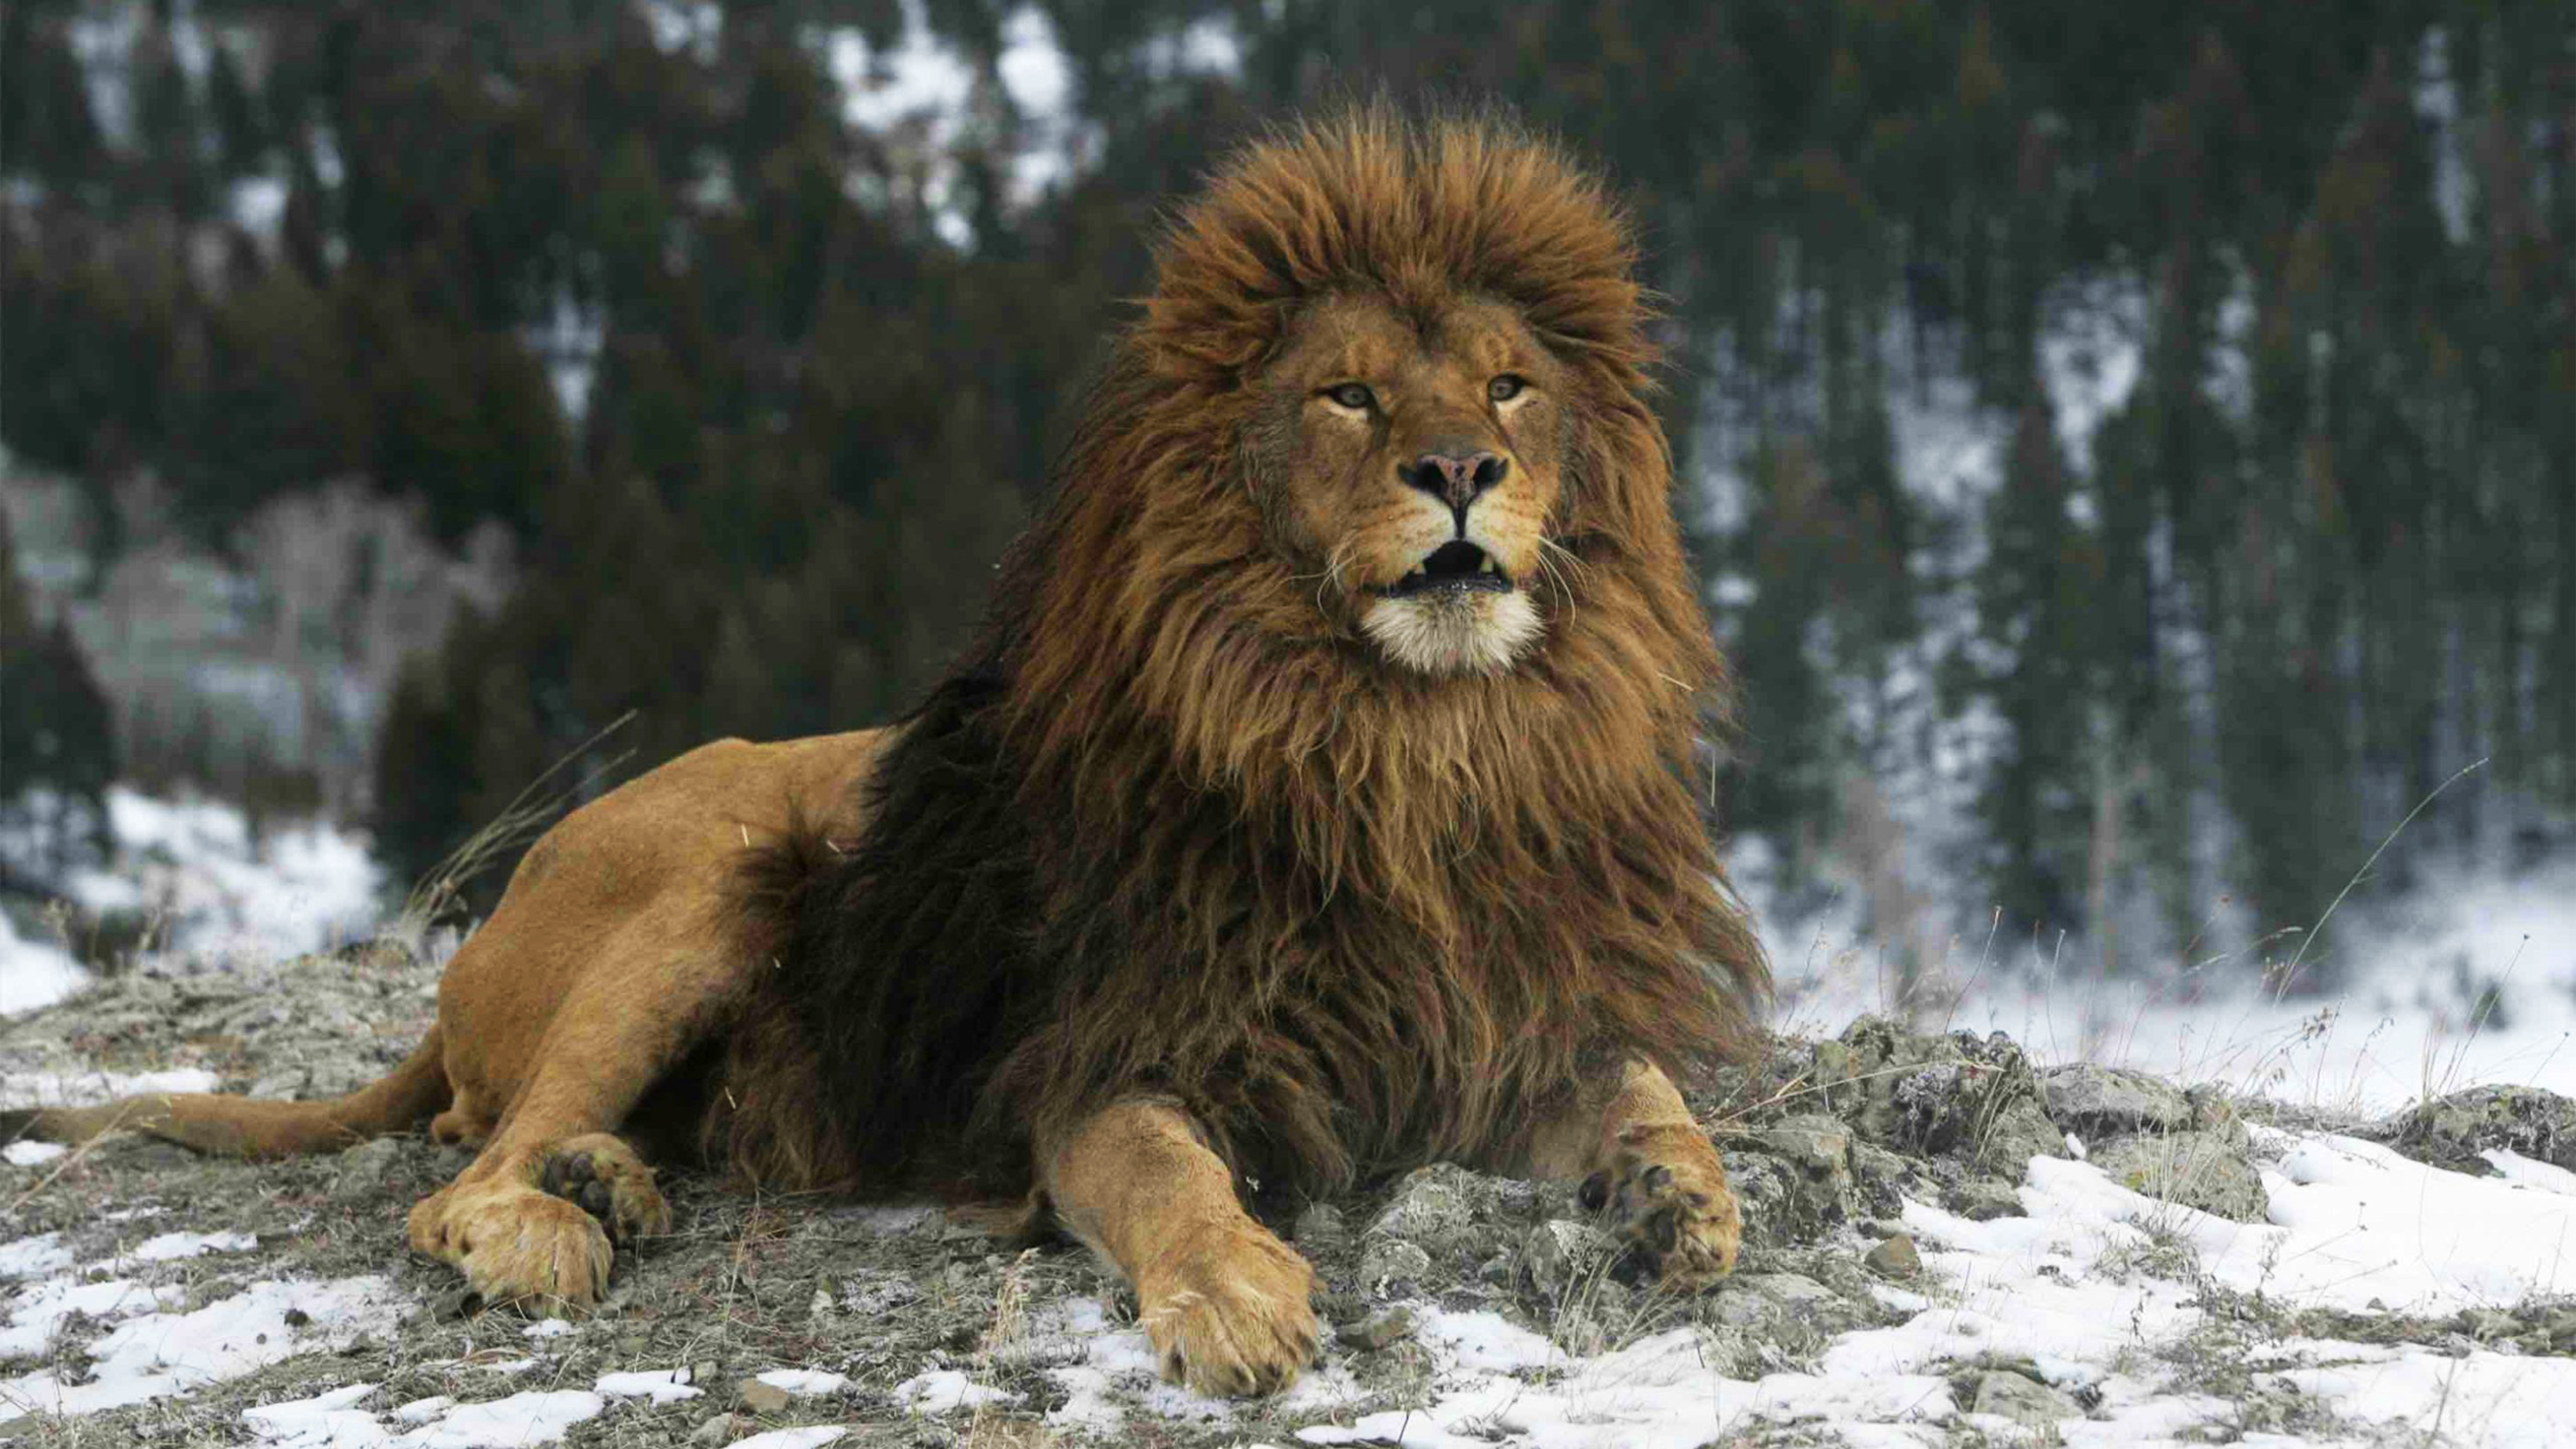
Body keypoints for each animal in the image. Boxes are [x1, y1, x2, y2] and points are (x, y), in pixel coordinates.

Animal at [2, 109, 1769, 1398]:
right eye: (1345, 396)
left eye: (1509, 386)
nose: (1461, 468)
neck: (1406, 745)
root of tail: (472, 956)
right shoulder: (1092, 1060)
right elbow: (1168, 1181)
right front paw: (1236, 1297)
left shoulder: (1495, 1019)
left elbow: (1650, 1092)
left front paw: (1684, 1201)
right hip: (718, 877)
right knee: (459, 1172)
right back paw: (552, 1225)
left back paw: (610, 1180)